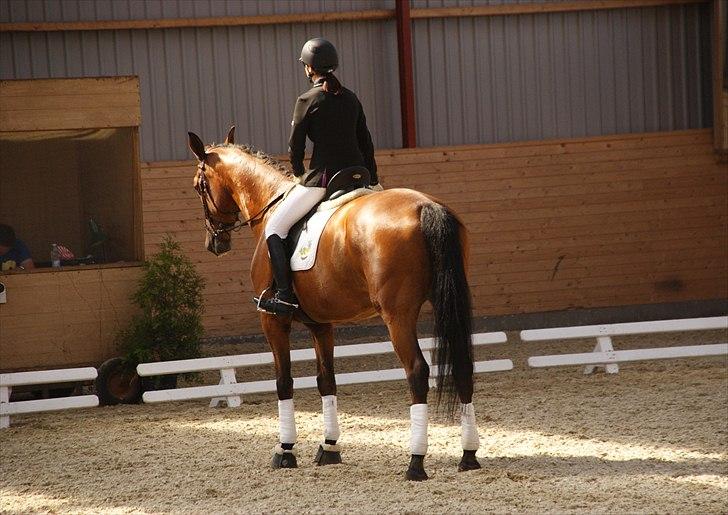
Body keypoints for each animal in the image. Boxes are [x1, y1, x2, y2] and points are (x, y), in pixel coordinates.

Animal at [191, 127, 480, 482]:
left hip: (397, 316)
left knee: (416, 371)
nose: (214, 242)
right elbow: (326, 380)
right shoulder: (321, 324)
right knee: (463, 366)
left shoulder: (273, 321)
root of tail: (425, 206)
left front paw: (285, 451)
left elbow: (283, 381)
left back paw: (415, 461)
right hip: (445, 303)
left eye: (199, 185)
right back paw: (468, 456)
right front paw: (329, 448)